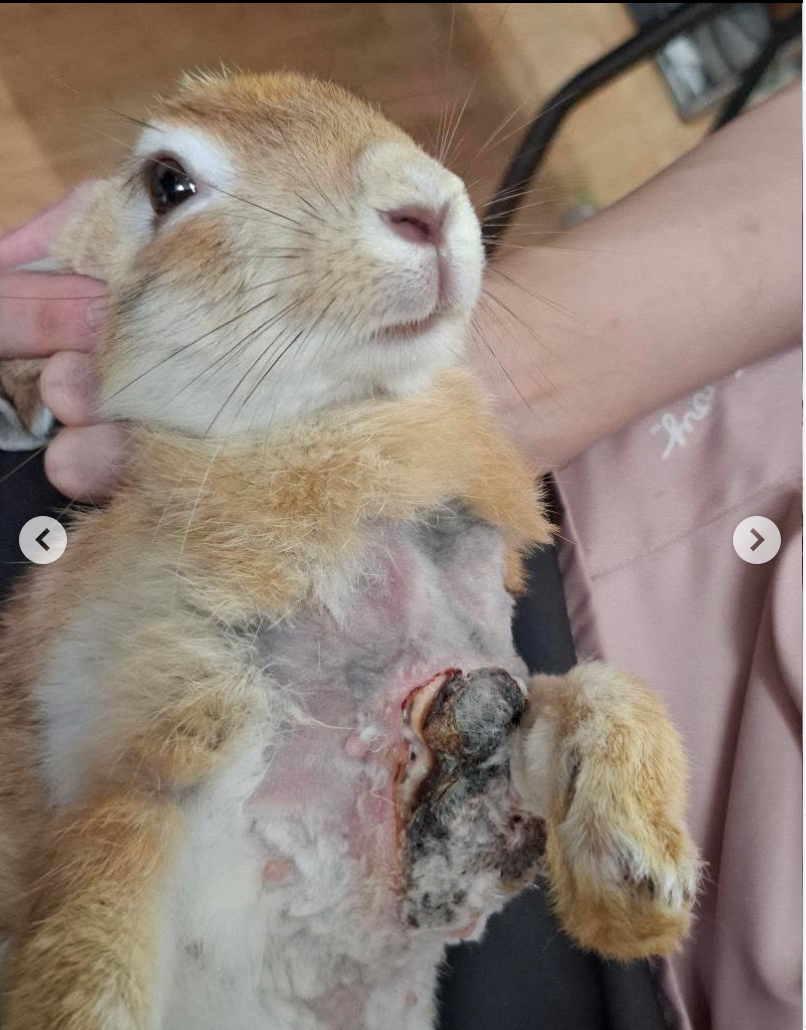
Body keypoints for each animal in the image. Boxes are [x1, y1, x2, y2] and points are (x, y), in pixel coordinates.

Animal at [0, 71, 699, 1030]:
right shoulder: (147, 751)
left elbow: (588, 689)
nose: (425, 207)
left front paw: (641, 883)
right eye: (168, 185)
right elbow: (91, 952)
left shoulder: (493, 682)